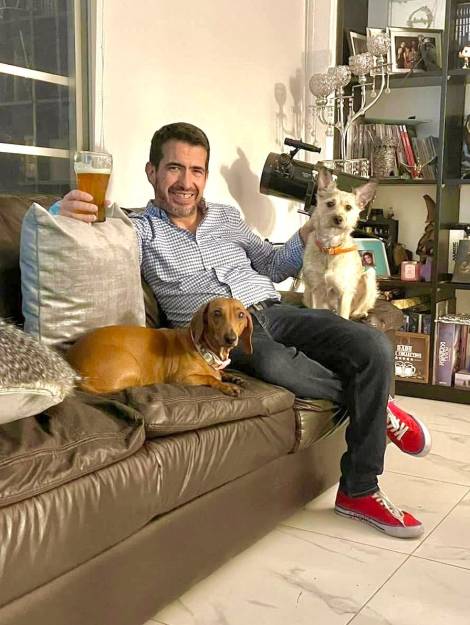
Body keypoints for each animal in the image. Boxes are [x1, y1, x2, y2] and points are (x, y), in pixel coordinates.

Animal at [66, 297, 253, 396]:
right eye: (217, 313)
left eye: (241, 315)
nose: (231, 338)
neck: (204, 350)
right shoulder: (181, 379)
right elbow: (210, 378)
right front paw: (226, 386)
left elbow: (220, 373)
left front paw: (232, 377)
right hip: (133, 368)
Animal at [302, 167, 378, 320]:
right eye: (330, 204)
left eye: (348, 207)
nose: (338, 218)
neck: (329, 247)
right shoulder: (315, 290)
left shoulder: (344, 293)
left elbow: (343, 316)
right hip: (307, 293)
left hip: (369, 275)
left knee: (356, 311)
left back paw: (361, 314)